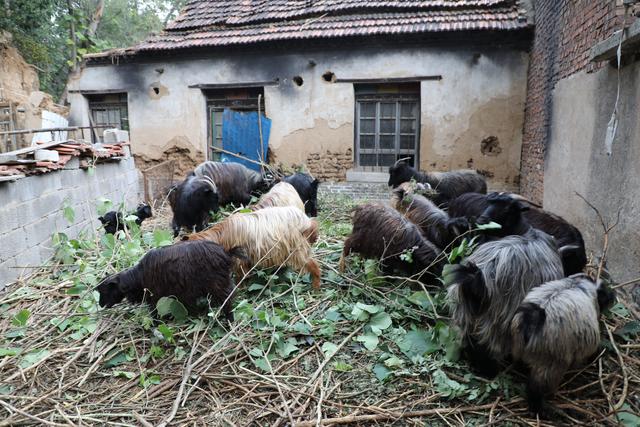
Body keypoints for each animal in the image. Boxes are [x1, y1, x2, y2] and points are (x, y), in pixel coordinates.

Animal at [96, 241, 246, 320]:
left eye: (105, 290)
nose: (101, 305)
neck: (137, 277)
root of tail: (226, 253)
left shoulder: (155, 296)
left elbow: (155, 311)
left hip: (218, 284)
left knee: (228, 298)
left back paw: (229, 318)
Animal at [510, 274, 616, 414]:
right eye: (605, 292)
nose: (613, 296)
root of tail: (533, 318)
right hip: (551, 361)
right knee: (537, 387)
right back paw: (541, 408)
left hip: (519, 349)